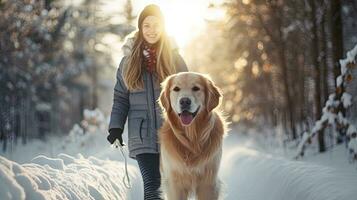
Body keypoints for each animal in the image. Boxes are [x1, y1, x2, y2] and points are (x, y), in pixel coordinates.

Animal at [157, 72, 227, 200]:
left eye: (196, 88)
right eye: (176, 89)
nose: (184, 101)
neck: (192, 138)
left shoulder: (208, 183)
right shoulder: (174, 184)